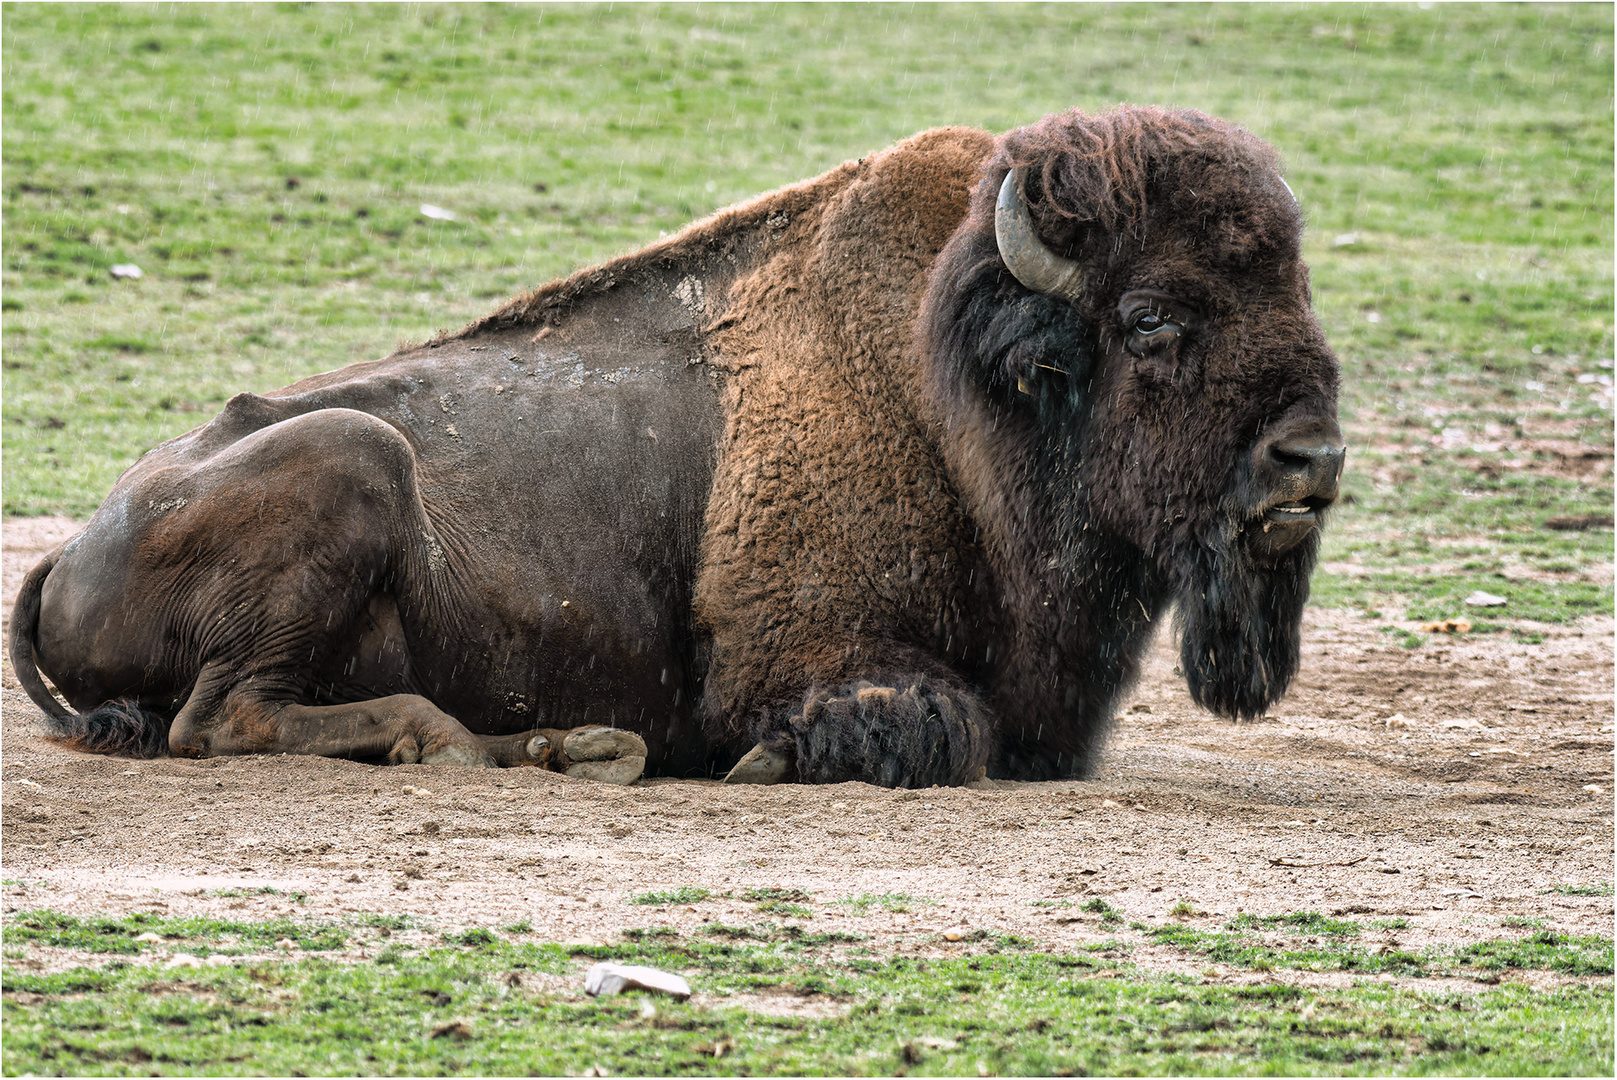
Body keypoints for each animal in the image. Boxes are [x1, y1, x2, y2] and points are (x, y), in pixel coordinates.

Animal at [12, 107, 1345, 785]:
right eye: (1151, 317)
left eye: (1295, 289)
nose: (1312, 461)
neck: (964, 390)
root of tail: (70, 549)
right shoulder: (799, 650)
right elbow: (927, 727)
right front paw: (769, 760)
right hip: (352, 462)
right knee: (224, 719)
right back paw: (477, 743)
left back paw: (568, 745)